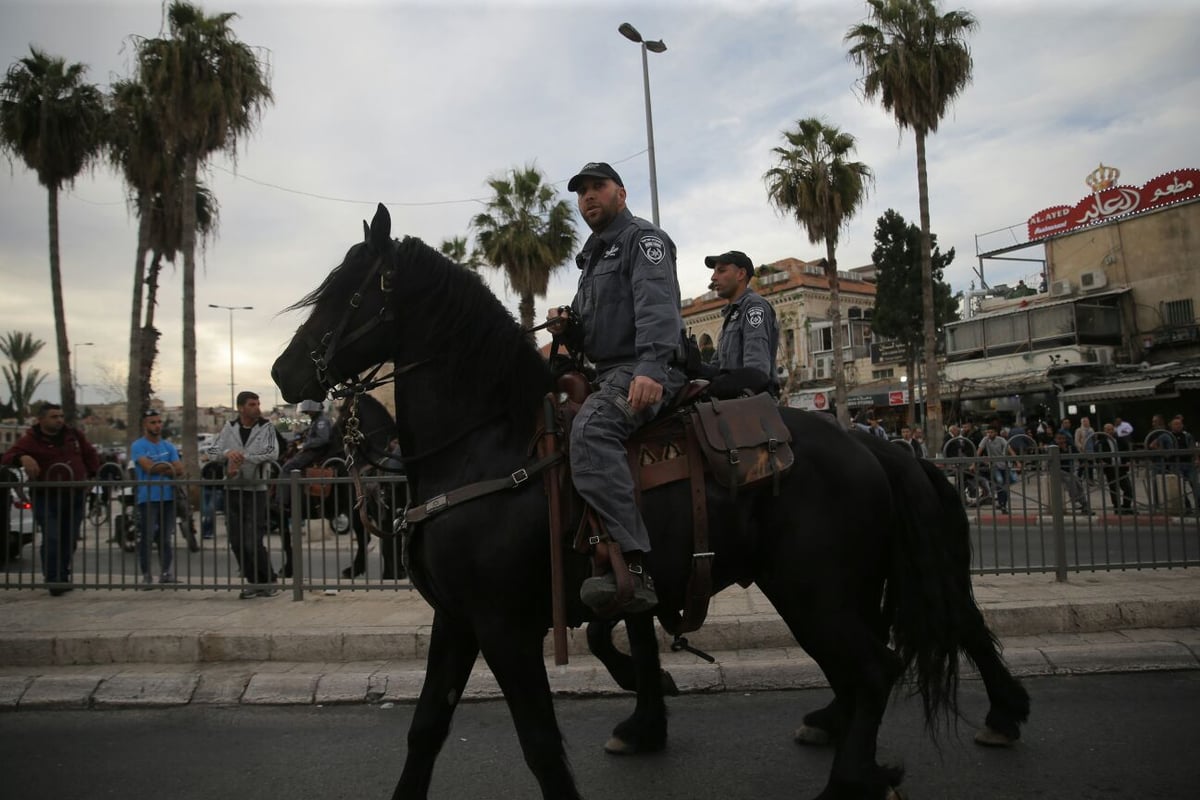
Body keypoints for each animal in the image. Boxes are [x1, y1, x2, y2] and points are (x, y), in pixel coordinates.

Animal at [270, 206, 1022, 800]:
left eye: (349, 293)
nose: (283, 373)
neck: (489, 446)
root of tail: (873, 446)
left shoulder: (505, 628)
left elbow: (541, 744)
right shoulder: (457, 620)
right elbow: (426, 728)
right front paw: (644, 705)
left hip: (816, 591)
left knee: (878, 667)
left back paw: (867, 774)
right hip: (835, 590)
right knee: (881, 661)